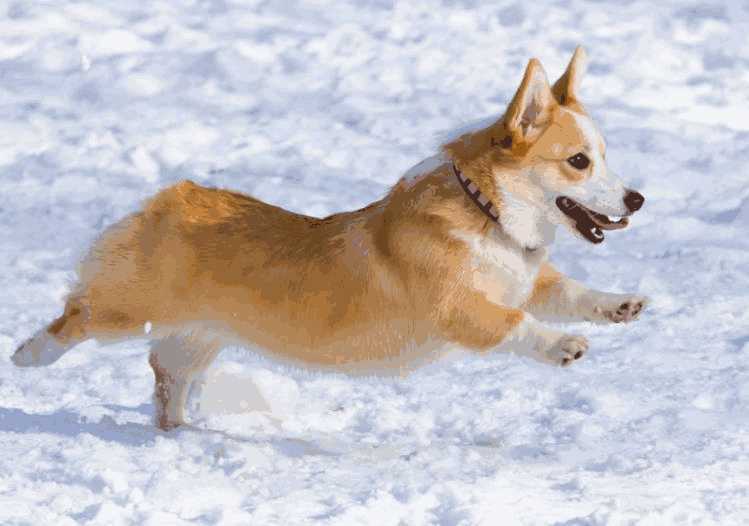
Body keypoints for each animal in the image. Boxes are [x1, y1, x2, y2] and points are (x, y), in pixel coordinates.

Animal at [10, 47, 644, 432]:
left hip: (200, 336)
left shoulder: (529, 280)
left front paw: (621, 306)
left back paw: (179, 429)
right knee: (77, 314)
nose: (637, 201)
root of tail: (170, 196)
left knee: (166, 374)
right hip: (129, 307)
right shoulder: (459, 308)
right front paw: (564, 346)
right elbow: (517, 324)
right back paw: (28, 356)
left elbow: (570, 292)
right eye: (579, 162)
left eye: (605, 157)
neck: (487, 213)